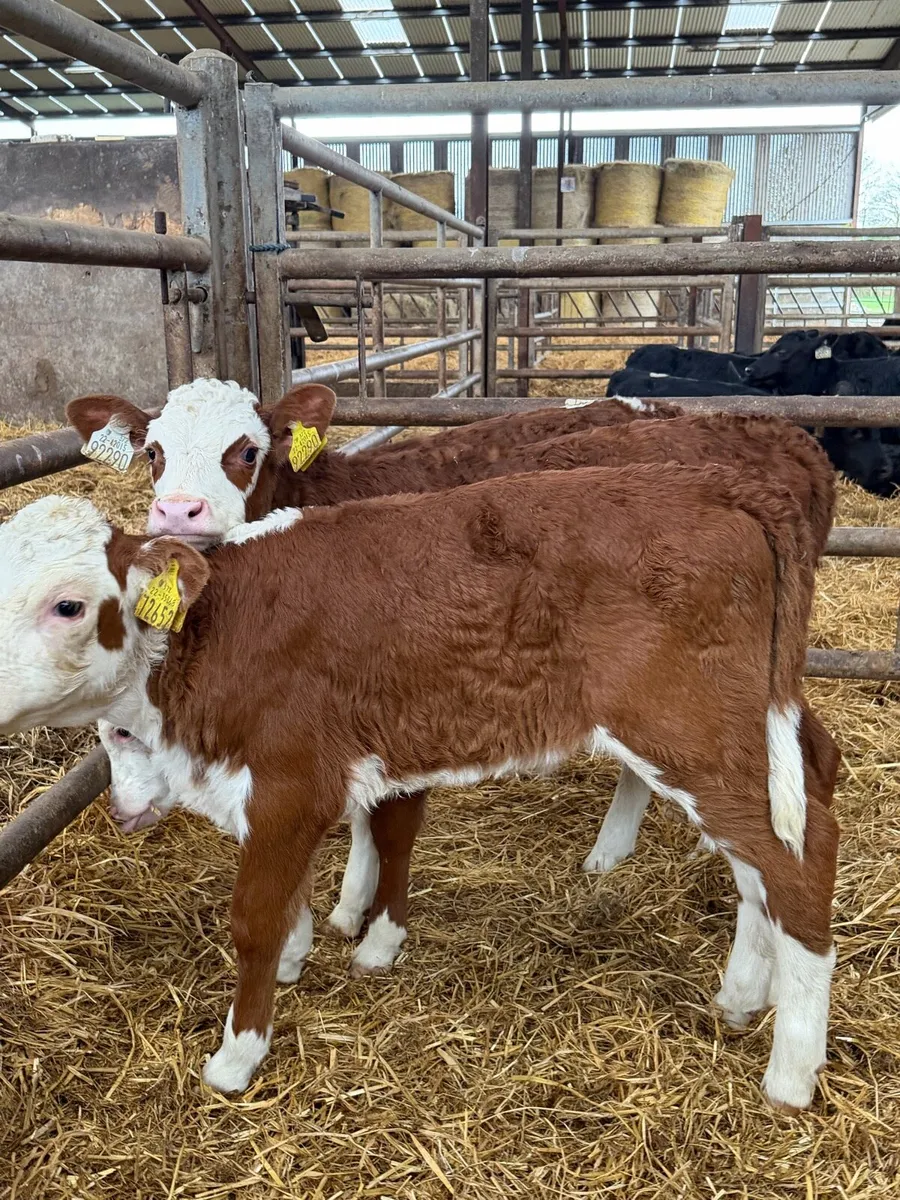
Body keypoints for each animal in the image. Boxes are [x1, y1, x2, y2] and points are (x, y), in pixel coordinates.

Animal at [0, 470, 838, 1109]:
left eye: (69, 604)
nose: (121, 811)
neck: (219, 634)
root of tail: (719, 491)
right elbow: (305, 892)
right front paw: (308, 955)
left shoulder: (291, 784)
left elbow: (256, 918)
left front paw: (238, 1056)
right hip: (739, 734)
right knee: (775, 835)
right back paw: (742, 994)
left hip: (688, 731)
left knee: (801, 851)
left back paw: (791, 1073)